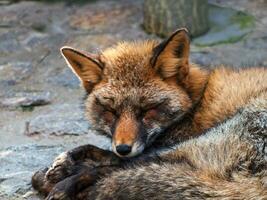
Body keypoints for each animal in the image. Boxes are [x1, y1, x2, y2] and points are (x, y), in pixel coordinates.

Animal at [31, 28, 267, 200]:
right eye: (111, 112)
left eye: (148, 110)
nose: (123, 148)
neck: (198, 100)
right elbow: (99, 150)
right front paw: (65, 162)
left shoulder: (169, 142)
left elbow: (111, 159)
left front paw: (66, 171)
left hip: (196, 143)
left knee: (120, 170)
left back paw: (64, 184)